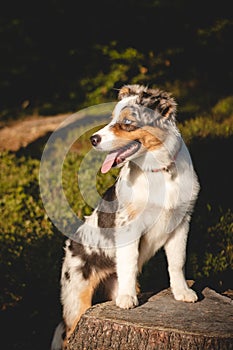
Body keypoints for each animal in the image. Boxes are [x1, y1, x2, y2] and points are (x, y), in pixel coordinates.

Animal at [51, 85, 200, 350]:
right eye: (112, 119)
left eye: (127, 122)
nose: (93, 139)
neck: (159, 171)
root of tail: (70, 245)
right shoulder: (128, 226)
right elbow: (129, 262)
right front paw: (128, 299)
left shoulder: (181, 223)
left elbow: (177, 262)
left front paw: (182, 293)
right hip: (76, 298)